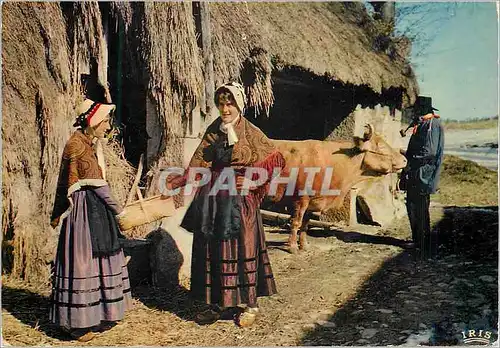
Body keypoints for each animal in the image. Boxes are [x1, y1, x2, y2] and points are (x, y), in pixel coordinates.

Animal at [270, 124, 406, 253]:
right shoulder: (301, 200)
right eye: (381, 146)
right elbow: (296, 222)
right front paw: (293, 247)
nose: (404, 160)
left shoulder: (314, 202)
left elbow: (305, 223)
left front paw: (304, 246)